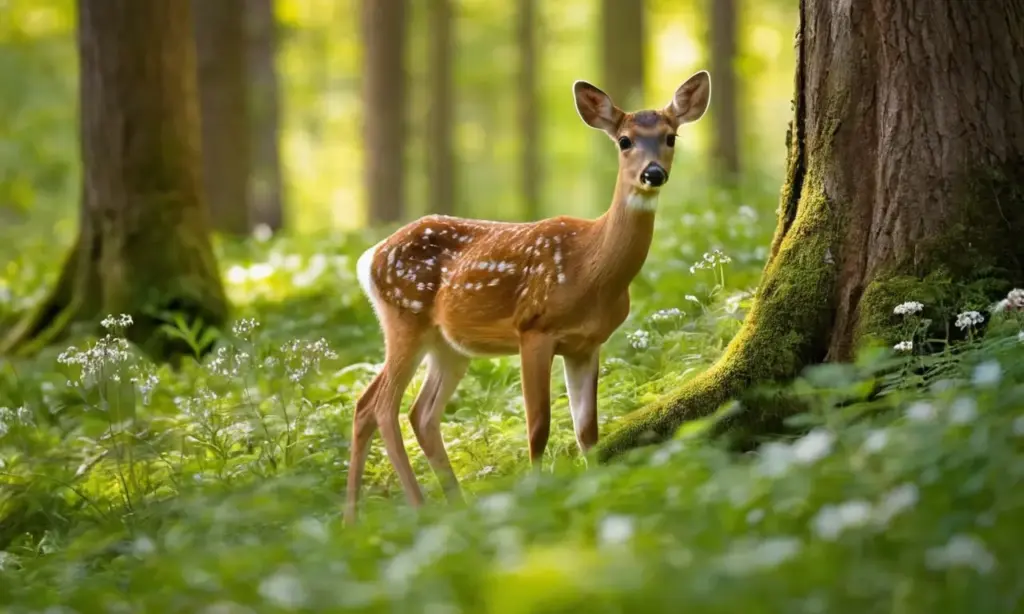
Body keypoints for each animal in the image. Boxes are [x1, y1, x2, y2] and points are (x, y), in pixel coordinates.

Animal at [346, 70, 711, 524]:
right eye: (624, 140)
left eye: (670, 136)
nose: (654, 173)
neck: (591, 268)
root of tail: (370, 257)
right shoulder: (533, 329)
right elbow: (538, 425)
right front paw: (536, 497)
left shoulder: (586, 344)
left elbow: (587, 430)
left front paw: (594, 490)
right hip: (405, 318)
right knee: (382, 406)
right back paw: (416, 509)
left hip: (447, 344)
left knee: (409, 411)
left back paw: (394, 514)